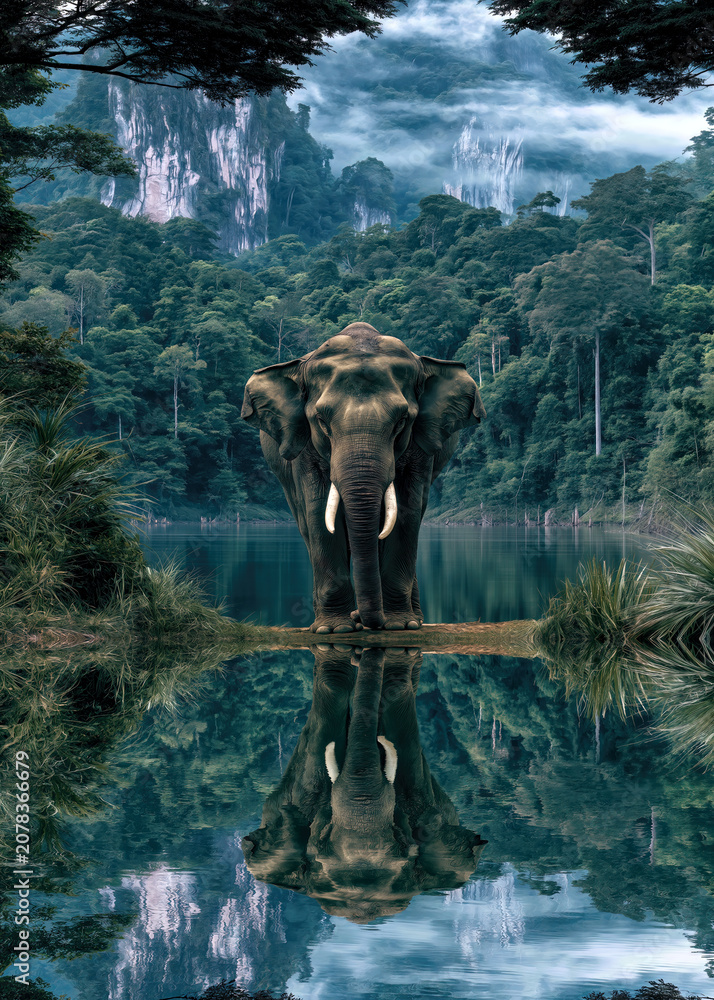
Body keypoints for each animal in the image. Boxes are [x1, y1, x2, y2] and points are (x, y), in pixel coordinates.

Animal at [241, 322, 485, 633]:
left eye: (401, 421)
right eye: (321, 421)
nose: (363, 619)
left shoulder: (422, 445)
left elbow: (407, 511)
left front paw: (400, 625)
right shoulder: (304, 446)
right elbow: (318, 510)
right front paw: (335, 628)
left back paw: (413, 619)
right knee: (307, 524)